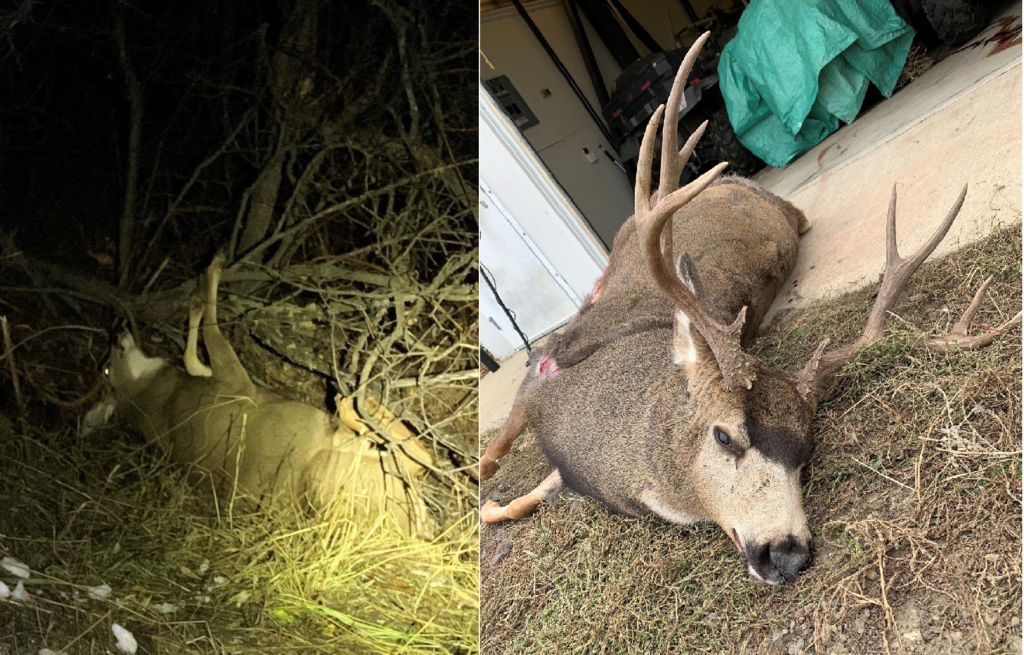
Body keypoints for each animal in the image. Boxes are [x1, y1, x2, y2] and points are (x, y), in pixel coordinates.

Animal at [93, 253, 435, 535]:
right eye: (107, 371)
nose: (116, 329)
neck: (159, 399)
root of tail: (409, 534)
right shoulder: (238, 385)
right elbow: (208, 333)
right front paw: (213, 270)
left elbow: (193, 356)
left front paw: (196, 293)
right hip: (330, 471)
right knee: (418, 458)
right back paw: (354, 404)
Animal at [479, 32, 1021, 584]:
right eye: (724, 436)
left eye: (804, 452)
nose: (788, 554)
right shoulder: (542, 368)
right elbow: (494, 463)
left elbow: (516, 497)